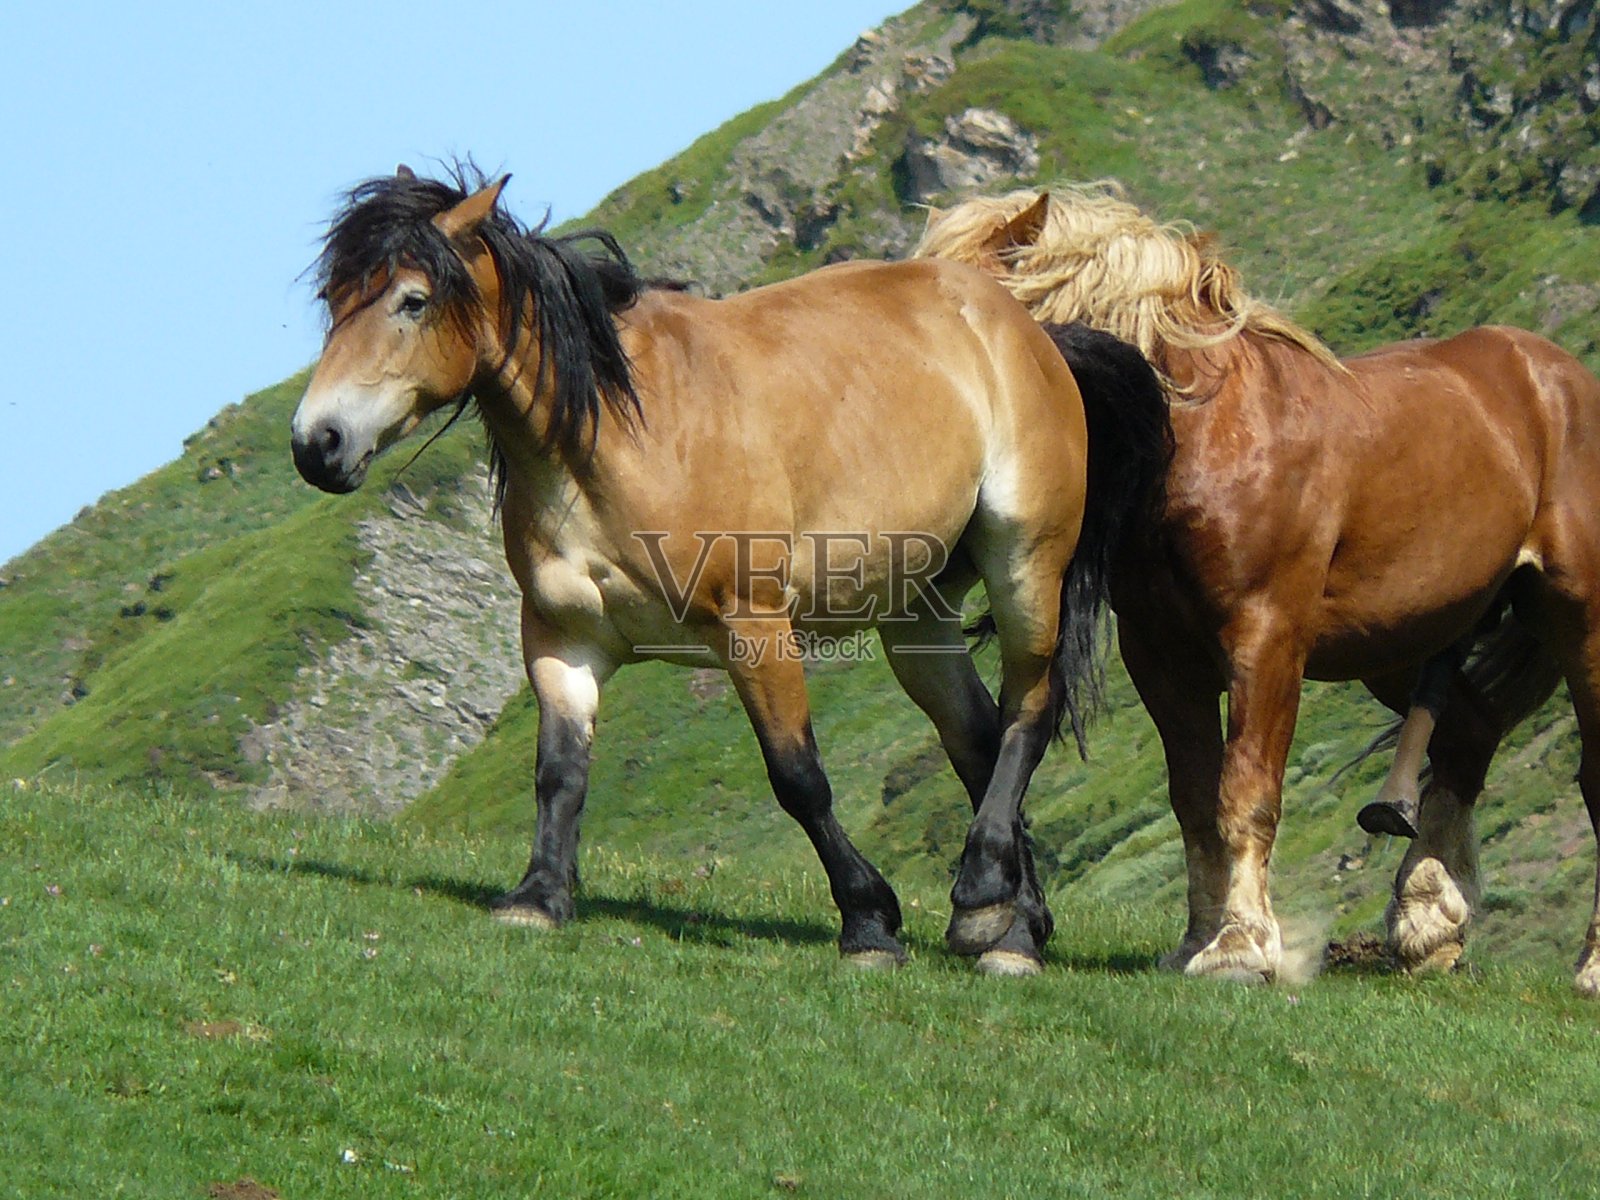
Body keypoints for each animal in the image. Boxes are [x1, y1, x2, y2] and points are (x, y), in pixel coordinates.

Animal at [289, 166, 1172, 975]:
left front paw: (869, 922)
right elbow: (560, 770)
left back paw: (990, 903)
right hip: (914, 615)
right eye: (334, 297)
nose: (316, 443)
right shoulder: (562, 640)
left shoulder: (755, 630)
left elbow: (799, 777)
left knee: (1029, 712)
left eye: (411, 300)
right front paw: (538, 896)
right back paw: (1010, 919)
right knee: (978, 737)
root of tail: (1029, 331)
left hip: (1026, 565)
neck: (623, 438)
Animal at [917, 182, 1600, 991]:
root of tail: (1556, 375)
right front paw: (1197, 938)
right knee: (1469, 735)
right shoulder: (1162, 657)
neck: (1210, 438)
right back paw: (1429, 921)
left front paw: (1241, 947)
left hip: (1581, 622)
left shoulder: (1266, 639)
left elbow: (1245, 792)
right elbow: (1192, 798)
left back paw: (1588, 964)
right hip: (1401, 641)